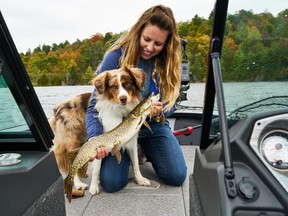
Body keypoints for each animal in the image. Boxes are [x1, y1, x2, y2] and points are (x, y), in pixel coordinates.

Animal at [48, 66, 151, 195]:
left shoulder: (131, 139)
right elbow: (97, 168)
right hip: (72, 141)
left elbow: (136, 163)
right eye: (113, 87)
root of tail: (57, 109)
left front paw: (140, 179)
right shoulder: (99, 141)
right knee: (70, 164)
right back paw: (79, 184)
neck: (120, 109)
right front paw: (94, 187)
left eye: (127, 84)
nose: (123, 99)